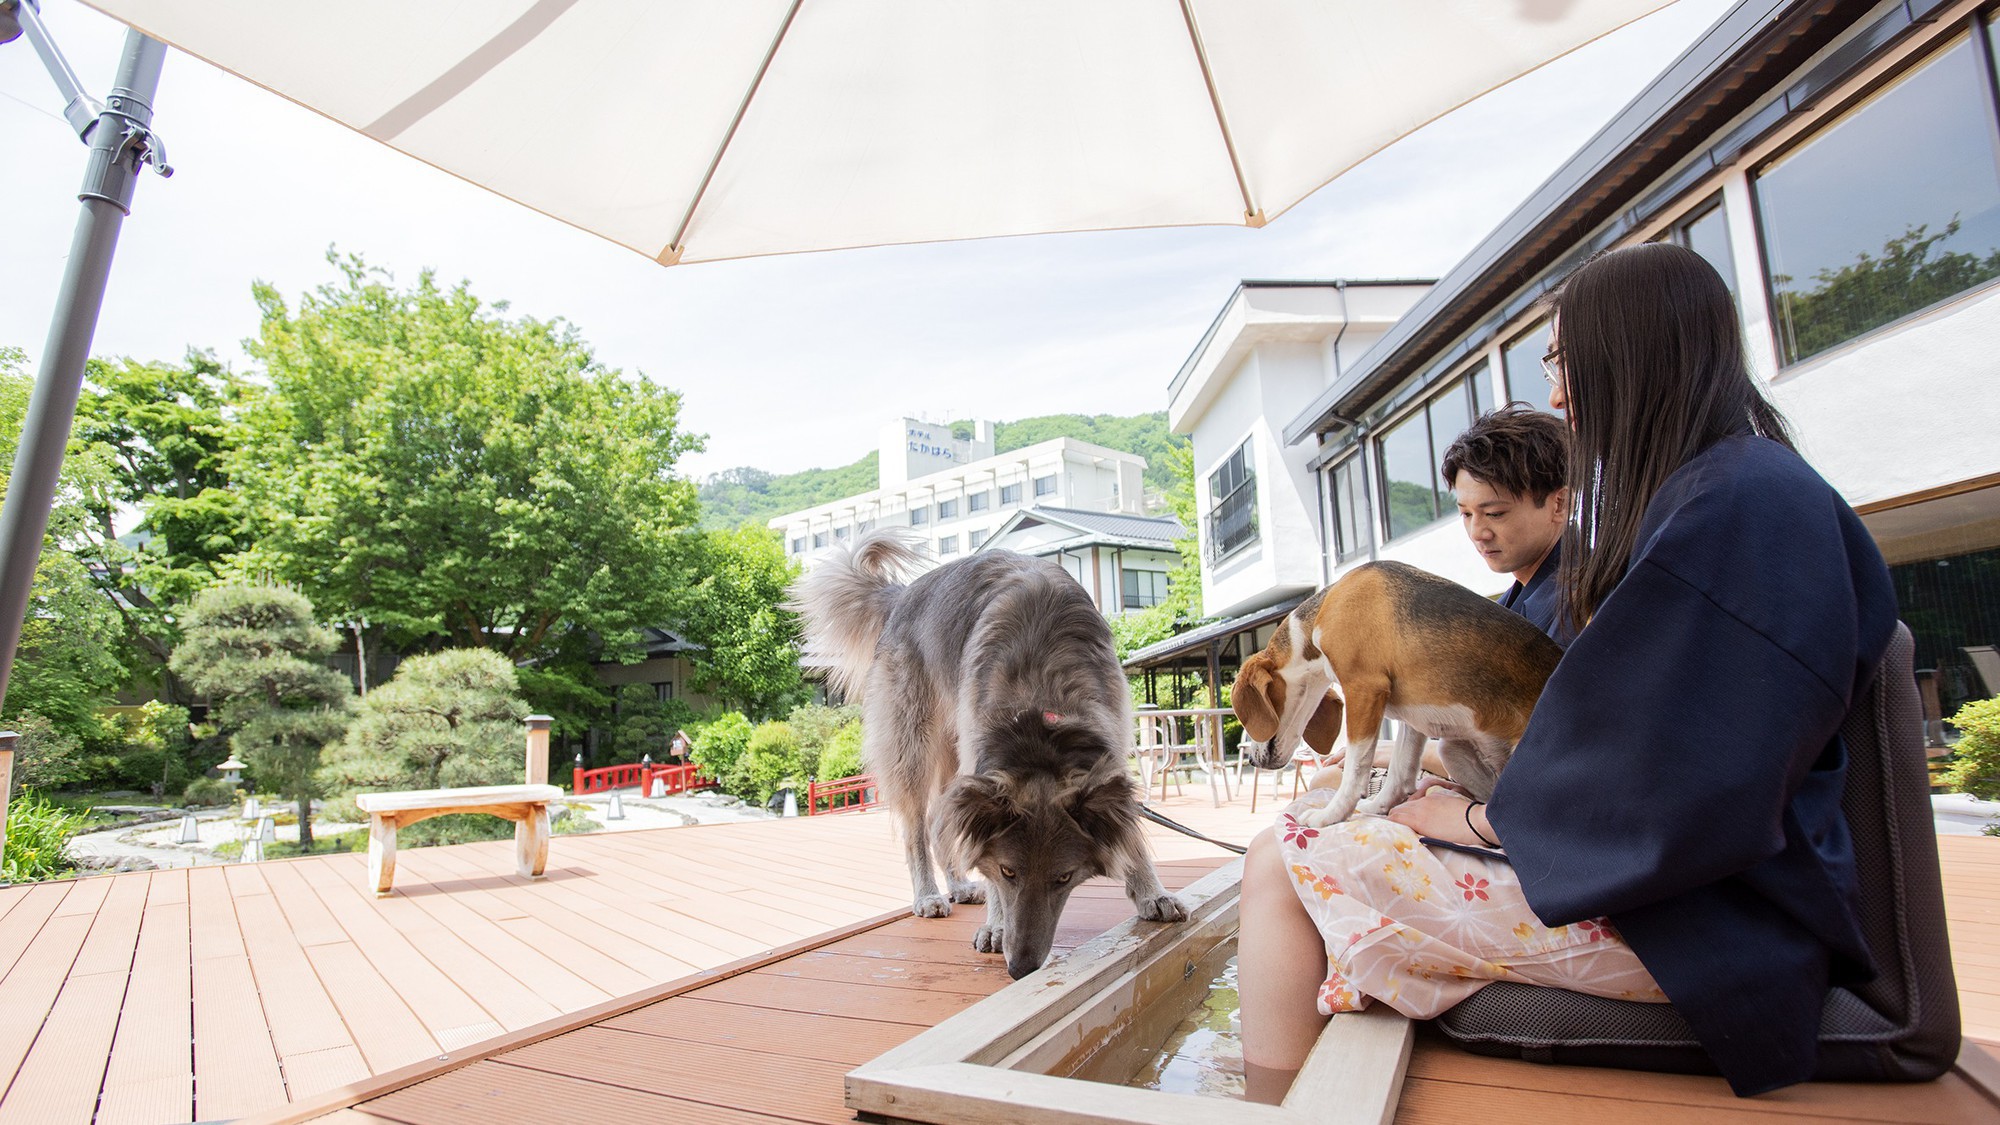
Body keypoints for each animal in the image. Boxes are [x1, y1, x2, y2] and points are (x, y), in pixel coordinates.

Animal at [784, 524, 1184, 972]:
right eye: (1007, 872)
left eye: (1064, 878)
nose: (1021, 968)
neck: (1039, 717)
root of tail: (902, 595)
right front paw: (995, 924)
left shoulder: (1110, 746)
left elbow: (1131, 835)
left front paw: (1151, 891)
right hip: (914, 747)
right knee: (917, 828)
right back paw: (929, 894)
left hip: (952, 755)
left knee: (942, 823)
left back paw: (959, 884)